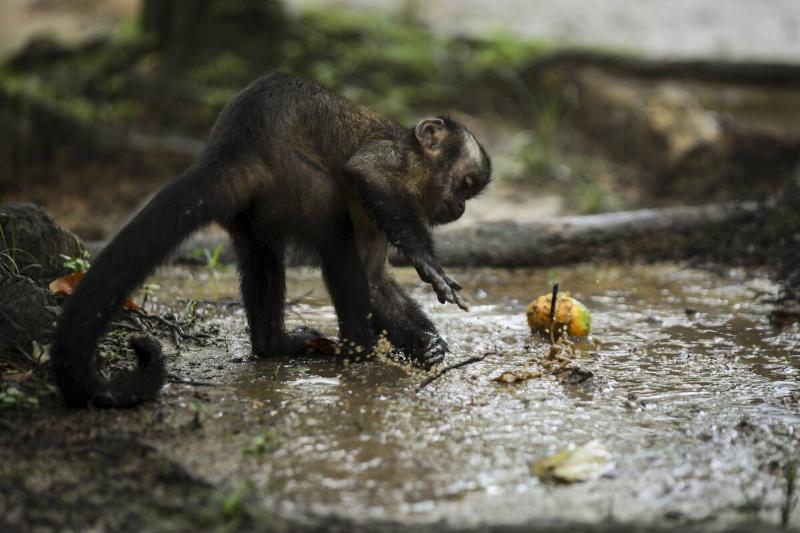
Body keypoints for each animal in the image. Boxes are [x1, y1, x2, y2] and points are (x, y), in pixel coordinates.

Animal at [51, 73, 491, 408]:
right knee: (335, 234)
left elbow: (373, 280)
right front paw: (425, 261)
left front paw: (427, 345)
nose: (460, 208)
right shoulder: (394, 165)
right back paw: (358, 352)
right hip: (299, 182)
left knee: (262, 252)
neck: (414, 164)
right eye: (464, 184)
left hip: (251, 207)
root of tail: (235, 147)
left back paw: (272, 345)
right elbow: (366, 172)